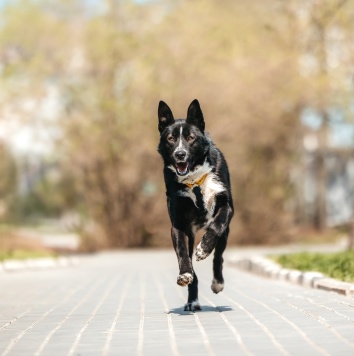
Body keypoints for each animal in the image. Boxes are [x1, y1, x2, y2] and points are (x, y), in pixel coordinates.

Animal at [156, 98, 234, 310]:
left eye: (190, 138)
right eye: (170, 139)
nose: (180, 154)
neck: (195, 179)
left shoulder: (226, 207)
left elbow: (216, 226)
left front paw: (204, 248)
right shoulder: (179, 224)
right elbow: (182, 253)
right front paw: (184, 274)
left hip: (226, 233)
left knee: (219, 257)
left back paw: (217, 282)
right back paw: (192, 301)